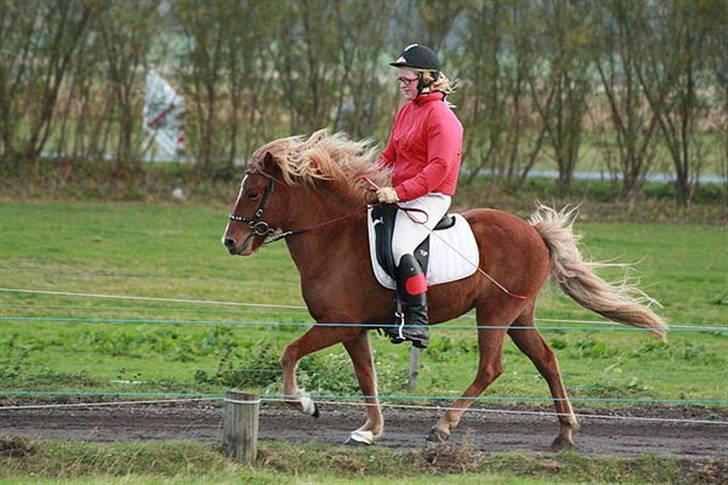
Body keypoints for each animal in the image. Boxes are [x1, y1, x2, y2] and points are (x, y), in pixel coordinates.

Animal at [220, 127, 664, 446]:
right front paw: (370, 429)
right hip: (519, 315)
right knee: (547, 360)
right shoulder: (353, 329)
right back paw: (565, 432)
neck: (333, 236)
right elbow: (367, 377)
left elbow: (290, 353)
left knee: (491, 367)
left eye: (255, 192)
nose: (230, 242)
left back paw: (444, 425)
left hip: (495, 313)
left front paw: (305, 404)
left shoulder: (337, 324)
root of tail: (535, 233)